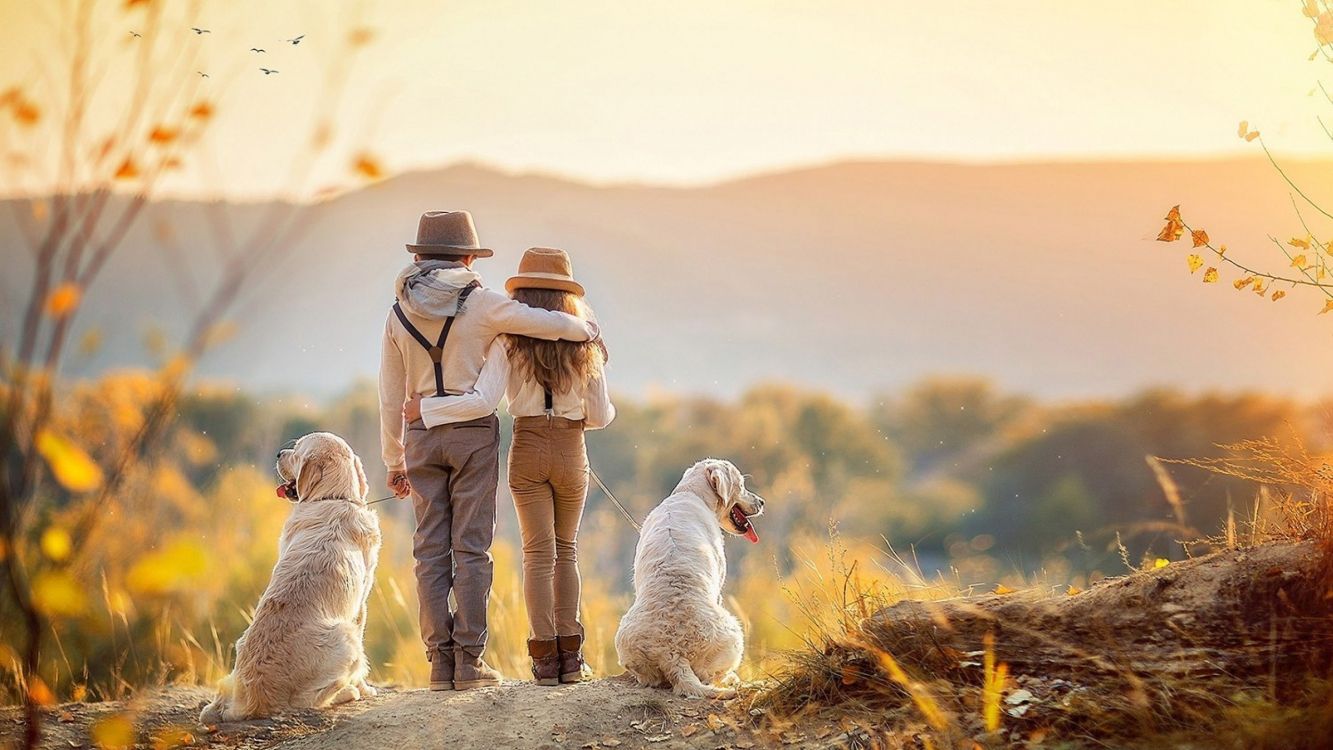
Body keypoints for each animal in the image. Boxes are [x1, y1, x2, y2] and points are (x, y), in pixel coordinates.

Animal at [199, 431, 383, 724]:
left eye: (296, 453)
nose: (279, 454)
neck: (333, 497)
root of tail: (248, 701)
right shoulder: (361, 604)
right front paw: (365, 688)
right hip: (346, 636)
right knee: (308, 701)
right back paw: (348, 692)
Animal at [610, 460, 762, 703]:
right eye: (741, 484)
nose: (762, 502)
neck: (690, 493)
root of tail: (673, 654)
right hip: (734, 634)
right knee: (710, 676)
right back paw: (731, 679)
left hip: (624, 639)